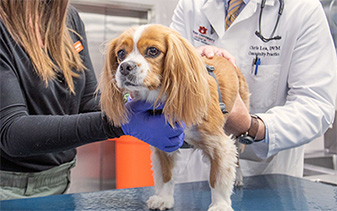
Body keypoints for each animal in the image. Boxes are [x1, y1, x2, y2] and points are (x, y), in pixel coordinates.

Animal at [98, 23, 248, 210]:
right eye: (120, 53)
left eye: (153, 51)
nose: (125, 67)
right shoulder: (162, 142)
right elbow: (166, 175)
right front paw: (164, 198)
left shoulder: (219, 144)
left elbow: (218, 178)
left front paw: (220, 205)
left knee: (237, 157)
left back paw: (238, 177)